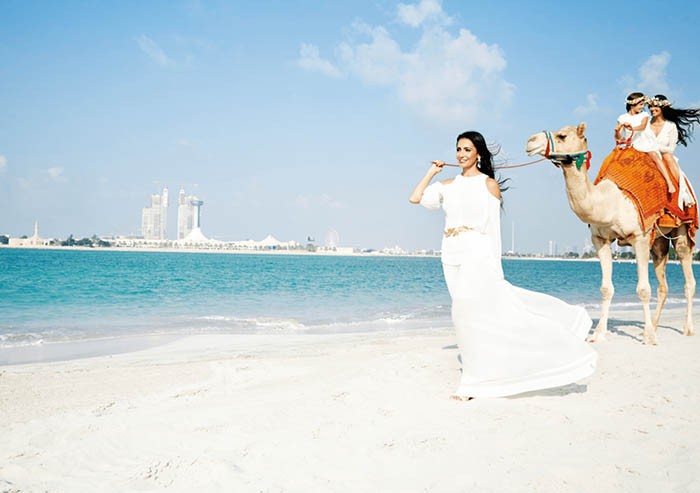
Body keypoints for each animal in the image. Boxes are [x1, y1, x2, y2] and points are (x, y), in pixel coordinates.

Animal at [524, 125, 696, 344]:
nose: (530, 141)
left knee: (688, 277)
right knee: (663, 284)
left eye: (562, 136)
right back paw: (652, 327)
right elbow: (606, 288)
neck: (610, 202)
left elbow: (643, 289)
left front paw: (649, 339)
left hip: (682, 230)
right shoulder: (600, 239)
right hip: (658, 242)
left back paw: (686, 328)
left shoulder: (640, 237)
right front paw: (598, 334)